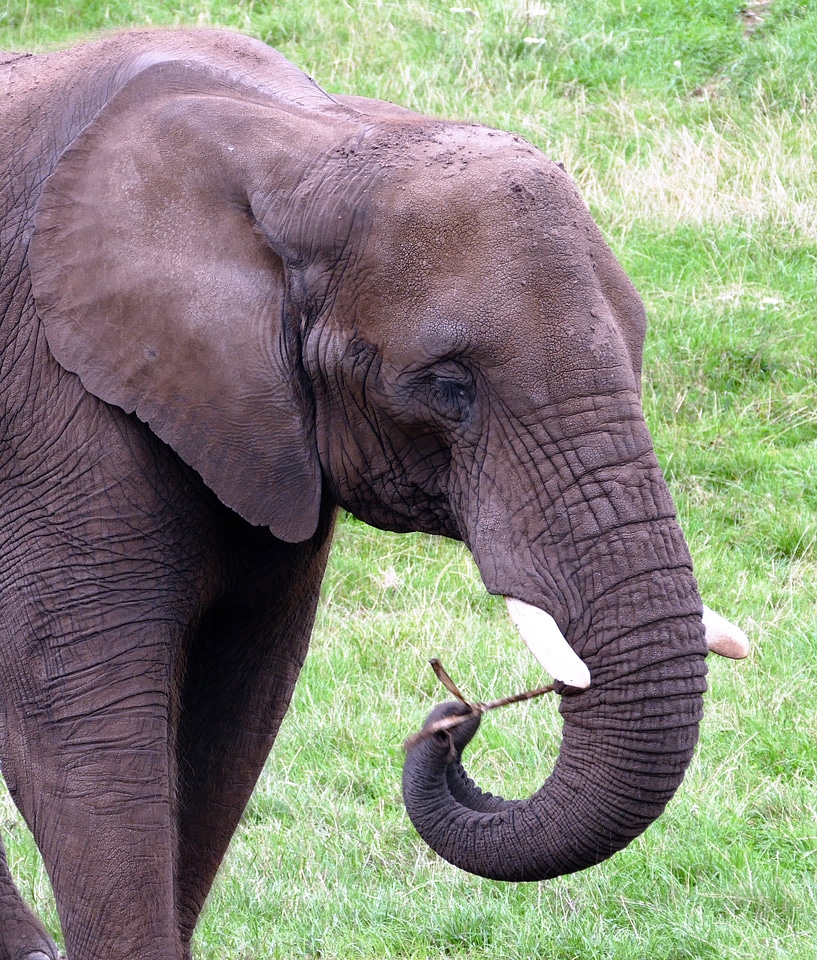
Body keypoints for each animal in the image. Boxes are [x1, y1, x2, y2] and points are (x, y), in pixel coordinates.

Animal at [0, 28, 744, 960]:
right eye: (447, 387)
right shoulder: (52, 410)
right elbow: (78, 717)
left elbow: (233, 710)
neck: (301, 142)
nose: (450, 721)